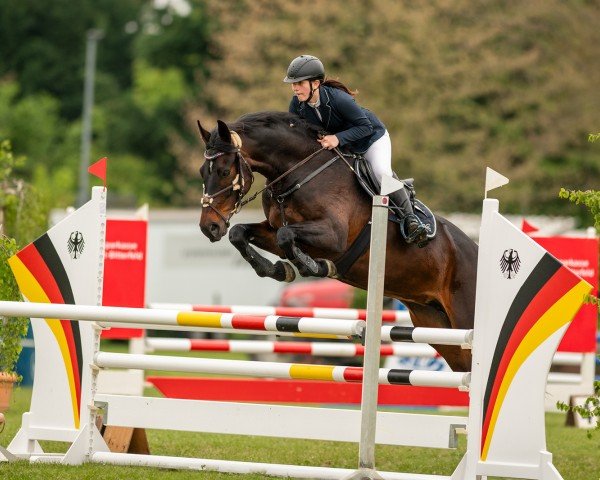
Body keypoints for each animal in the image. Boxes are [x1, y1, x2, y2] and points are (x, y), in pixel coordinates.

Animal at [197, 111, 478, 372]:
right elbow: (242, 233)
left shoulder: (334, 236)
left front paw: (315, 266)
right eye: (202, 172)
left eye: (224, 171)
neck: (298, 173)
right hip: (437, 326)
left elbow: (286, 236)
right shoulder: (277, 232)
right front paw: (278, 269)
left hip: (464, 319)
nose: (209, 227)